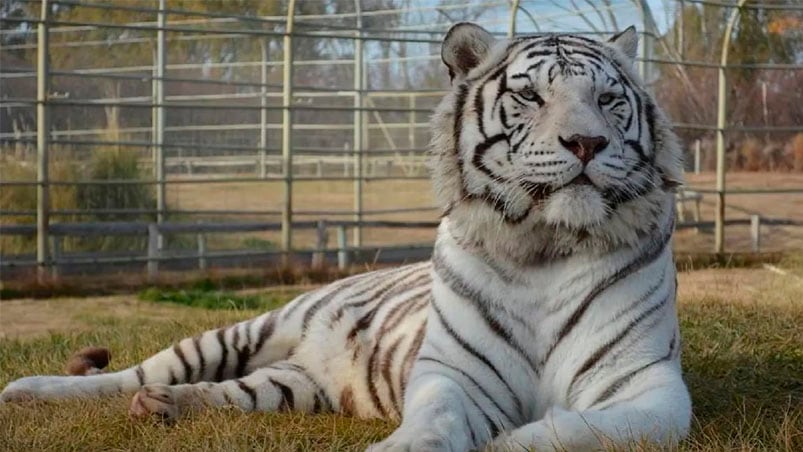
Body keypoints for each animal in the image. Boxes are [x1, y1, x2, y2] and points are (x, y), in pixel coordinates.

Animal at [1, 23, 692, 450]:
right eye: (530, 96)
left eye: (609, 99)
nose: (587, 143)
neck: (545, 247)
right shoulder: (454, 375)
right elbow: (434, 422)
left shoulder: (651, 390)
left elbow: (579, 430)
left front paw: (512, 440)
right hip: (241, 331)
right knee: (129, 374)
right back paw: (33, 393)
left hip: (288, 386)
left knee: (219, 393)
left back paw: (165, 407)